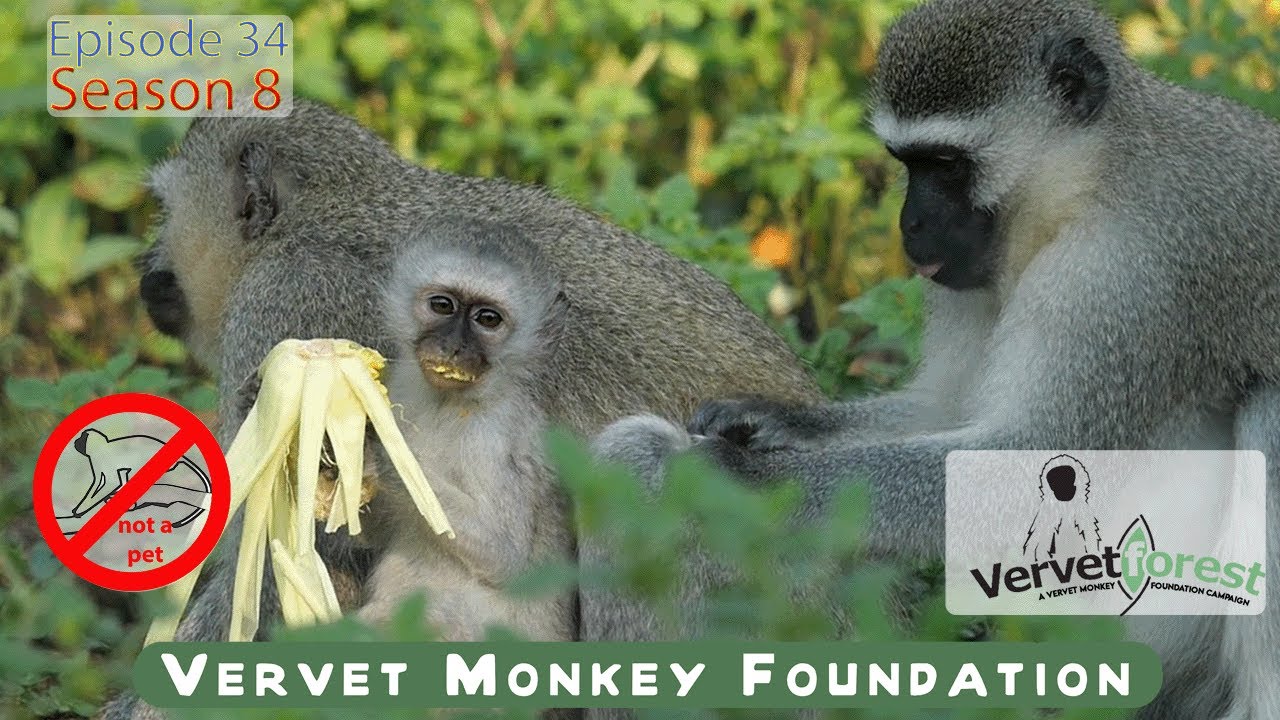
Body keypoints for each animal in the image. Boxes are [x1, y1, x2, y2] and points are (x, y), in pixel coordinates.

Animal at [355, 219, 575, 643]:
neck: (448, 405)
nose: (453, 347)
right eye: (443, 305)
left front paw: (381, 451)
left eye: (488, 319)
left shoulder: (493, 437)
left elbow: (504, 554)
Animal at [591, 1, 1280, 718]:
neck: (1092, 182)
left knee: (1268, 409)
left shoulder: (1118, 277)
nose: (909, 225)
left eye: (947, 164)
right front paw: (772, 421)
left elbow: (1028, 462)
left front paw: (737, 474)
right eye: (908, 162)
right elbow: (948, 407)